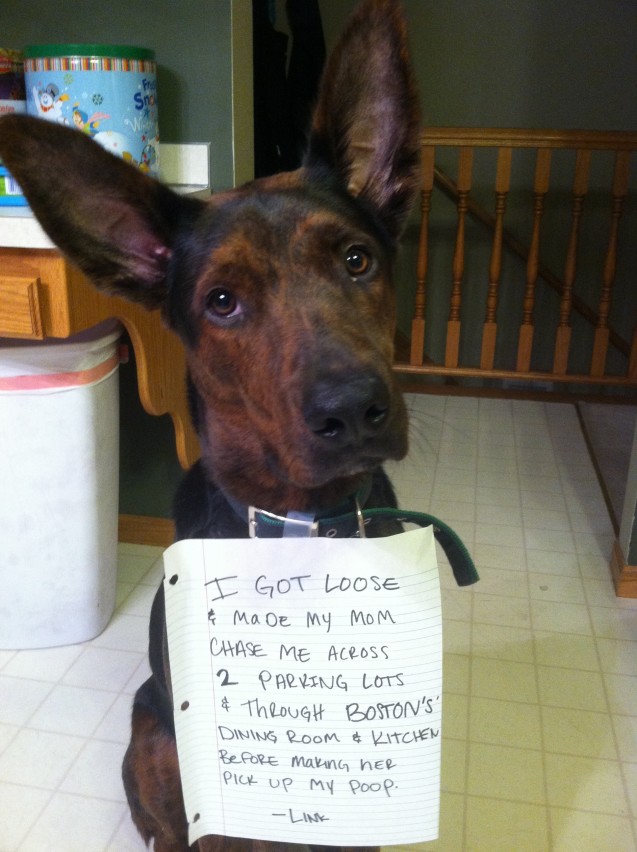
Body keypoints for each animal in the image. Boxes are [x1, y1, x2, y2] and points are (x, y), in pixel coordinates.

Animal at [0, 0, 420, 848]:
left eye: (357, 260)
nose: (352, 409)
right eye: (222, 302)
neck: (302, 531)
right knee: (168, 823)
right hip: (154, 732)